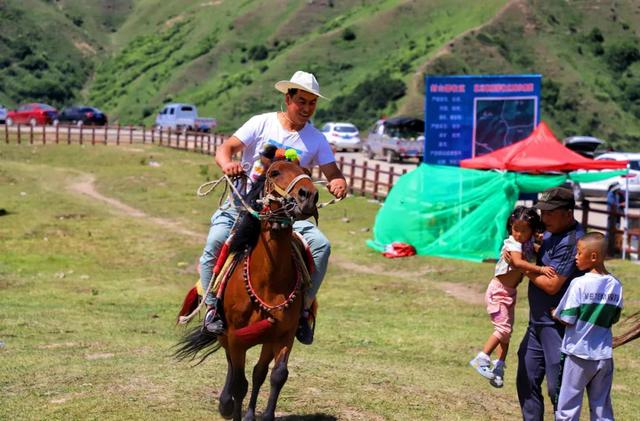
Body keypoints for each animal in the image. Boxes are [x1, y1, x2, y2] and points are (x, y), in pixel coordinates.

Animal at [175, 158, 318, 420]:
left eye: (307, 172)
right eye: (275, 172)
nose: (309, 195)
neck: (269, 282)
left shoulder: (282, 336)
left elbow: (275, 375)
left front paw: (261, 415)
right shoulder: (236, 339)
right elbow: (239, 383)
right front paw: (231, 408)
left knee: (258, 372)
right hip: (225, 335)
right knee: (232, 368)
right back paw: (225, 403)